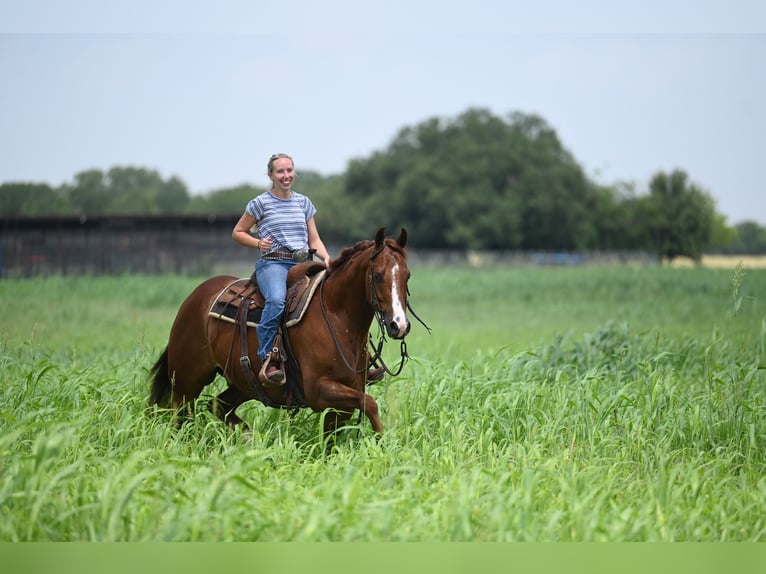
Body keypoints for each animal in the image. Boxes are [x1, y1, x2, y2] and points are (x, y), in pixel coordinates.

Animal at [148, 227, 413, 437]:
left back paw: (250, 438)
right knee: (179, 417)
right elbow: (370, 405)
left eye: (407, 276)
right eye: (377, 275)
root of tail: (194, 298)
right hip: (186, 381)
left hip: (243, 383)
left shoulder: (345, 397)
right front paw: (381, 444)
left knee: (218, 406)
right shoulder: (319, 391)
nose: (398, 325)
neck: (337, 316)